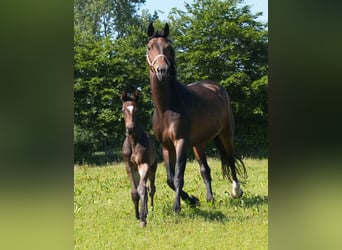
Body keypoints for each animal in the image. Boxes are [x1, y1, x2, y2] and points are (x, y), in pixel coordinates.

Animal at [121, 90, 157, 227]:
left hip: (152, 168)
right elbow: (135, 192)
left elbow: (142, 189)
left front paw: (143, 219)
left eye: (137, 110)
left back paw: (151, 210)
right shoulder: (129, 167)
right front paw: (137, 215)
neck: (133, 143)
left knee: (150, 189)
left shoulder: (144, 164)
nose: (130, 129)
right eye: (123, 109)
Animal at [146, 22, 247, 212]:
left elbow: (178, 176)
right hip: (199, 144)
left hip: (226, 134)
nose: (162, 71)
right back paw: (210, 198)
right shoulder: (166, 146)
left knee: (230, 159)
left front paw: (177, 207)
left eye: (169, 48)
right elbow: (170, 179)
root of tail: (216, 87)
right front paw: (192, 200)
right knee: (205, 169)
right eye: (149, 47)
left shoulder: (181, 143)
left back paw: (236, 191)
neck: (167, 108)